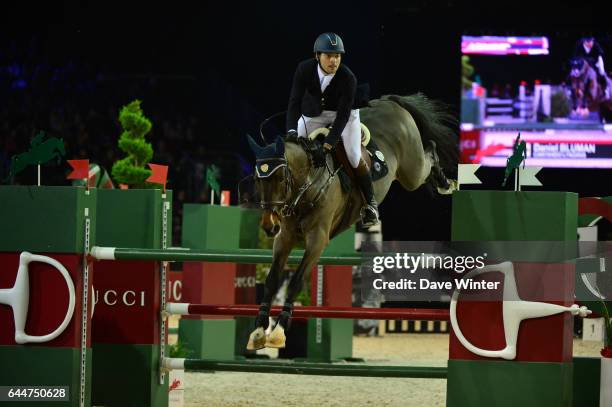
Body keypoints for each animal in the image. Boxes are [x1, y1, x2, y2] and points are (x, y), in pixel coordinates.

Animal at [245, 93, 460, 350]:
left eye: (280, 177)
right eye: (257, 179)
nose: (269, 226)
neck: (309, 183)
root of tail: (389, 102)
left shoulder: (317, 240)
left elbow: (296, 281)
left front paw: (278, 330)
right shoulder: (284, 238)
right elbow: (271, 280)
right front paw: (259, 331)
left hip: (412, 171)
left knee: (430, 152)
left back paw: (445, 182)